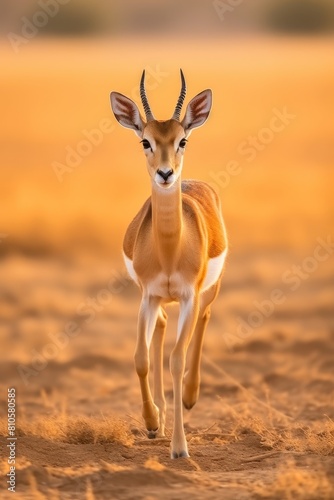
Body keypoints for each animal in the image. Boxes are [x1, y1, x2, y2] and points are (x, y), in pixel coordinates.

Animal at [109, 70, 227, 460]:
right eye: (145, 141)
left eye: (182, 140)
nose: (165, 174)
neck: (171, 249)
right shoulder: (147, 295)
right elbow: (141, 358)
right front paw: (150, 423)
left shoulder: (189, 296)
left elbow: (176, 358)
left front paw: (180, 448)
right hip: (160, 299)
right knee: (160, 328)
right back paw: (160, 415)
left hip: (208, 291)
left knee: (204, 319)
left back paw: (189, 397)